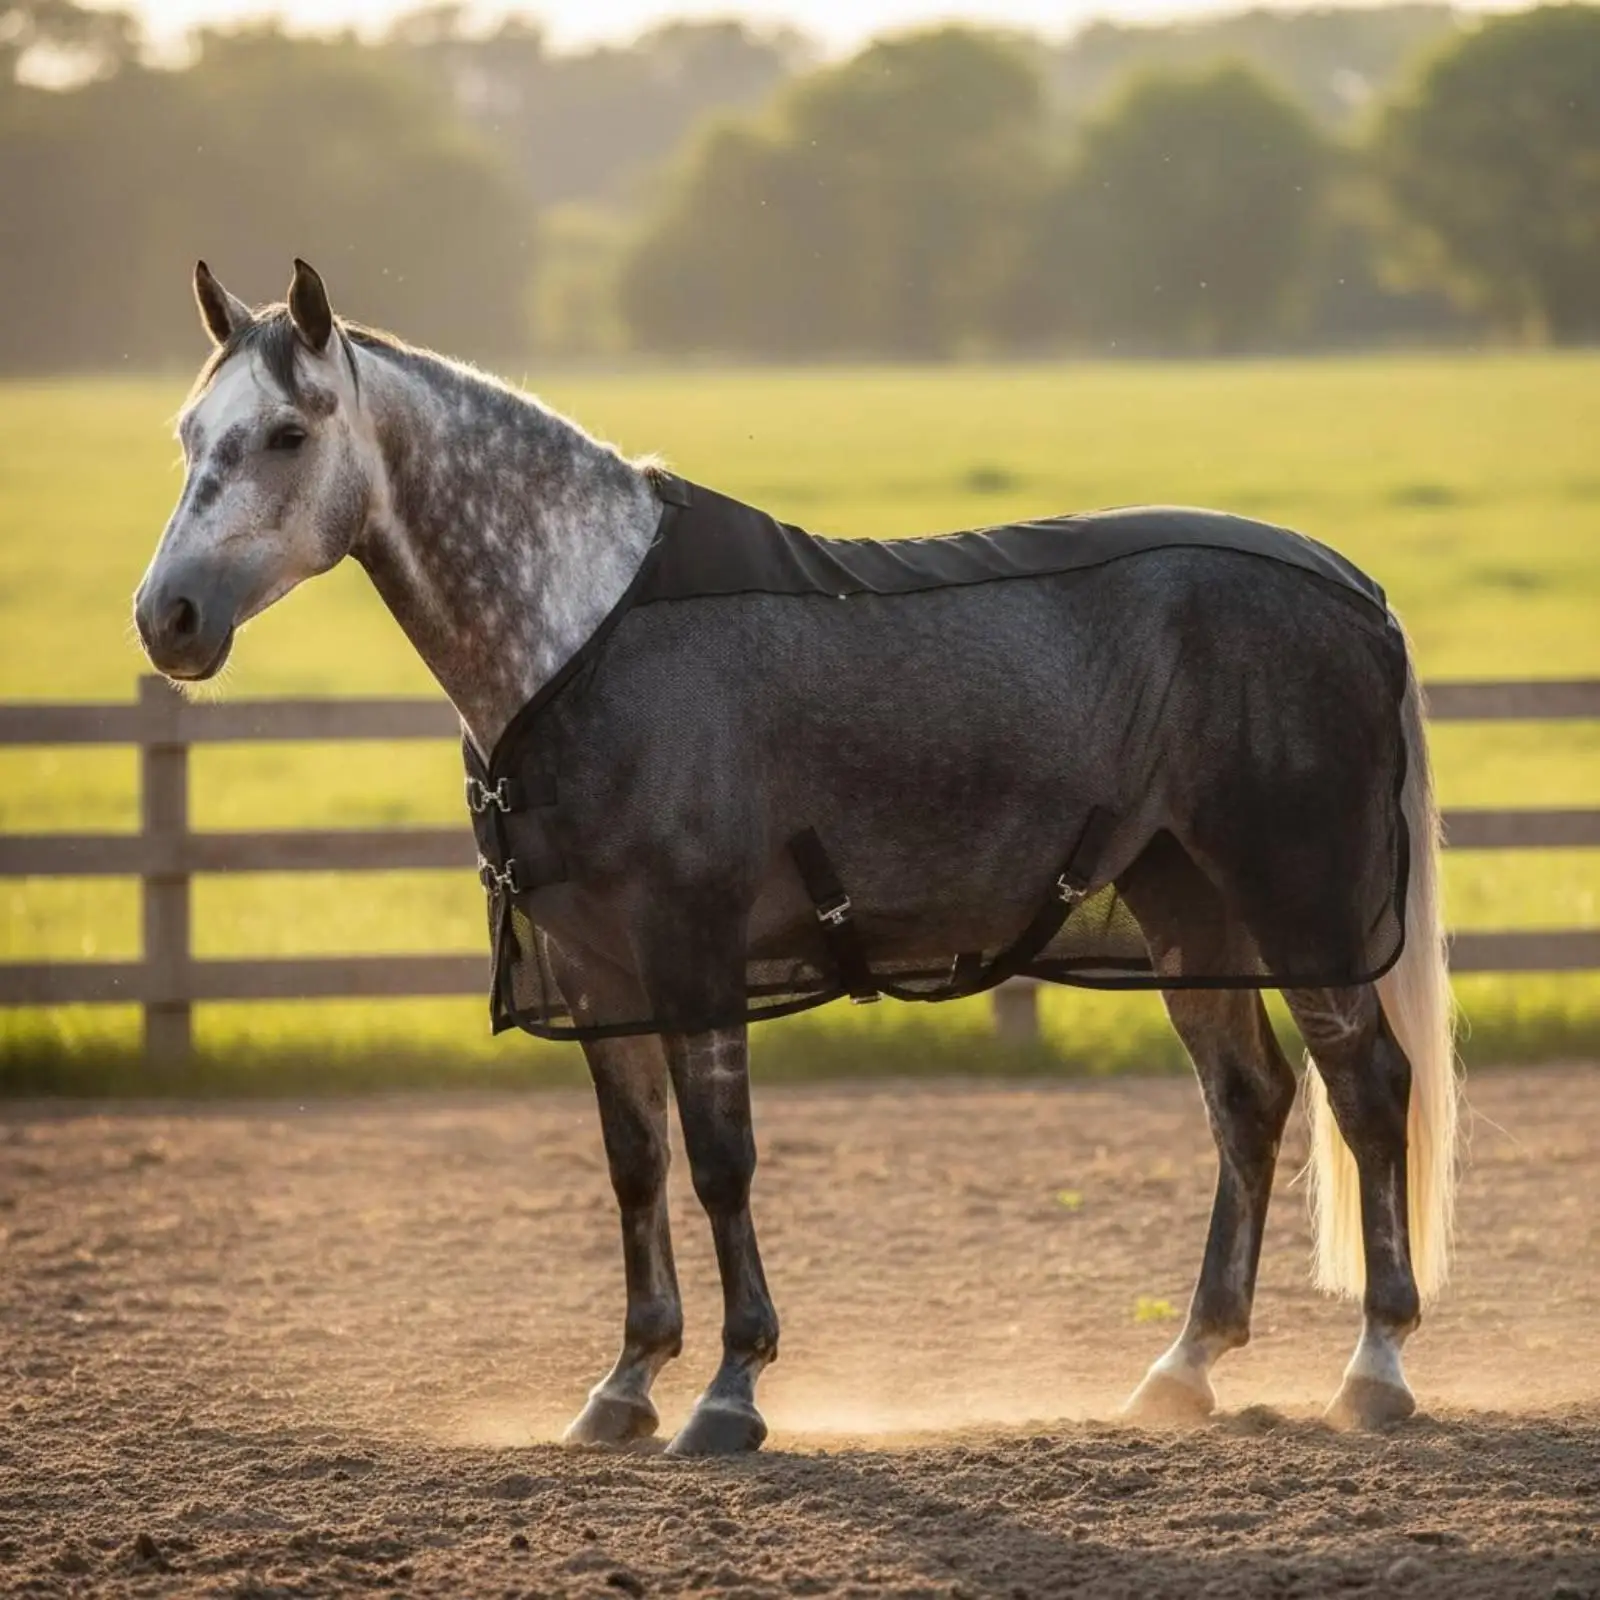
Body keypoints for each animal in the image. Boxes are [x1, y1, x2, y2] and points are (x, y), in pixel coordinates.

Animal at [134, 259, 1458, 1455]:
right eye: (189, 432)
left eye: (287, 433)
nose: (167, 619)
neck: (588, 632)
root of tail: (1355, 592)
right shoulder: (600, 973)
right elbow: (635, 1165)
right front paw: (625, 1385)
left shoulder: (694, 950)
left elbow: (721, 1159)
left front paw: (730, 1390)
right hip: (1186, 907)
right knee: (1249, 1101)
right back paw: (1184, 1367)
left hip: (1303, 905)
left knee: (1366, 1090)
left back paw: (1376, 1365)